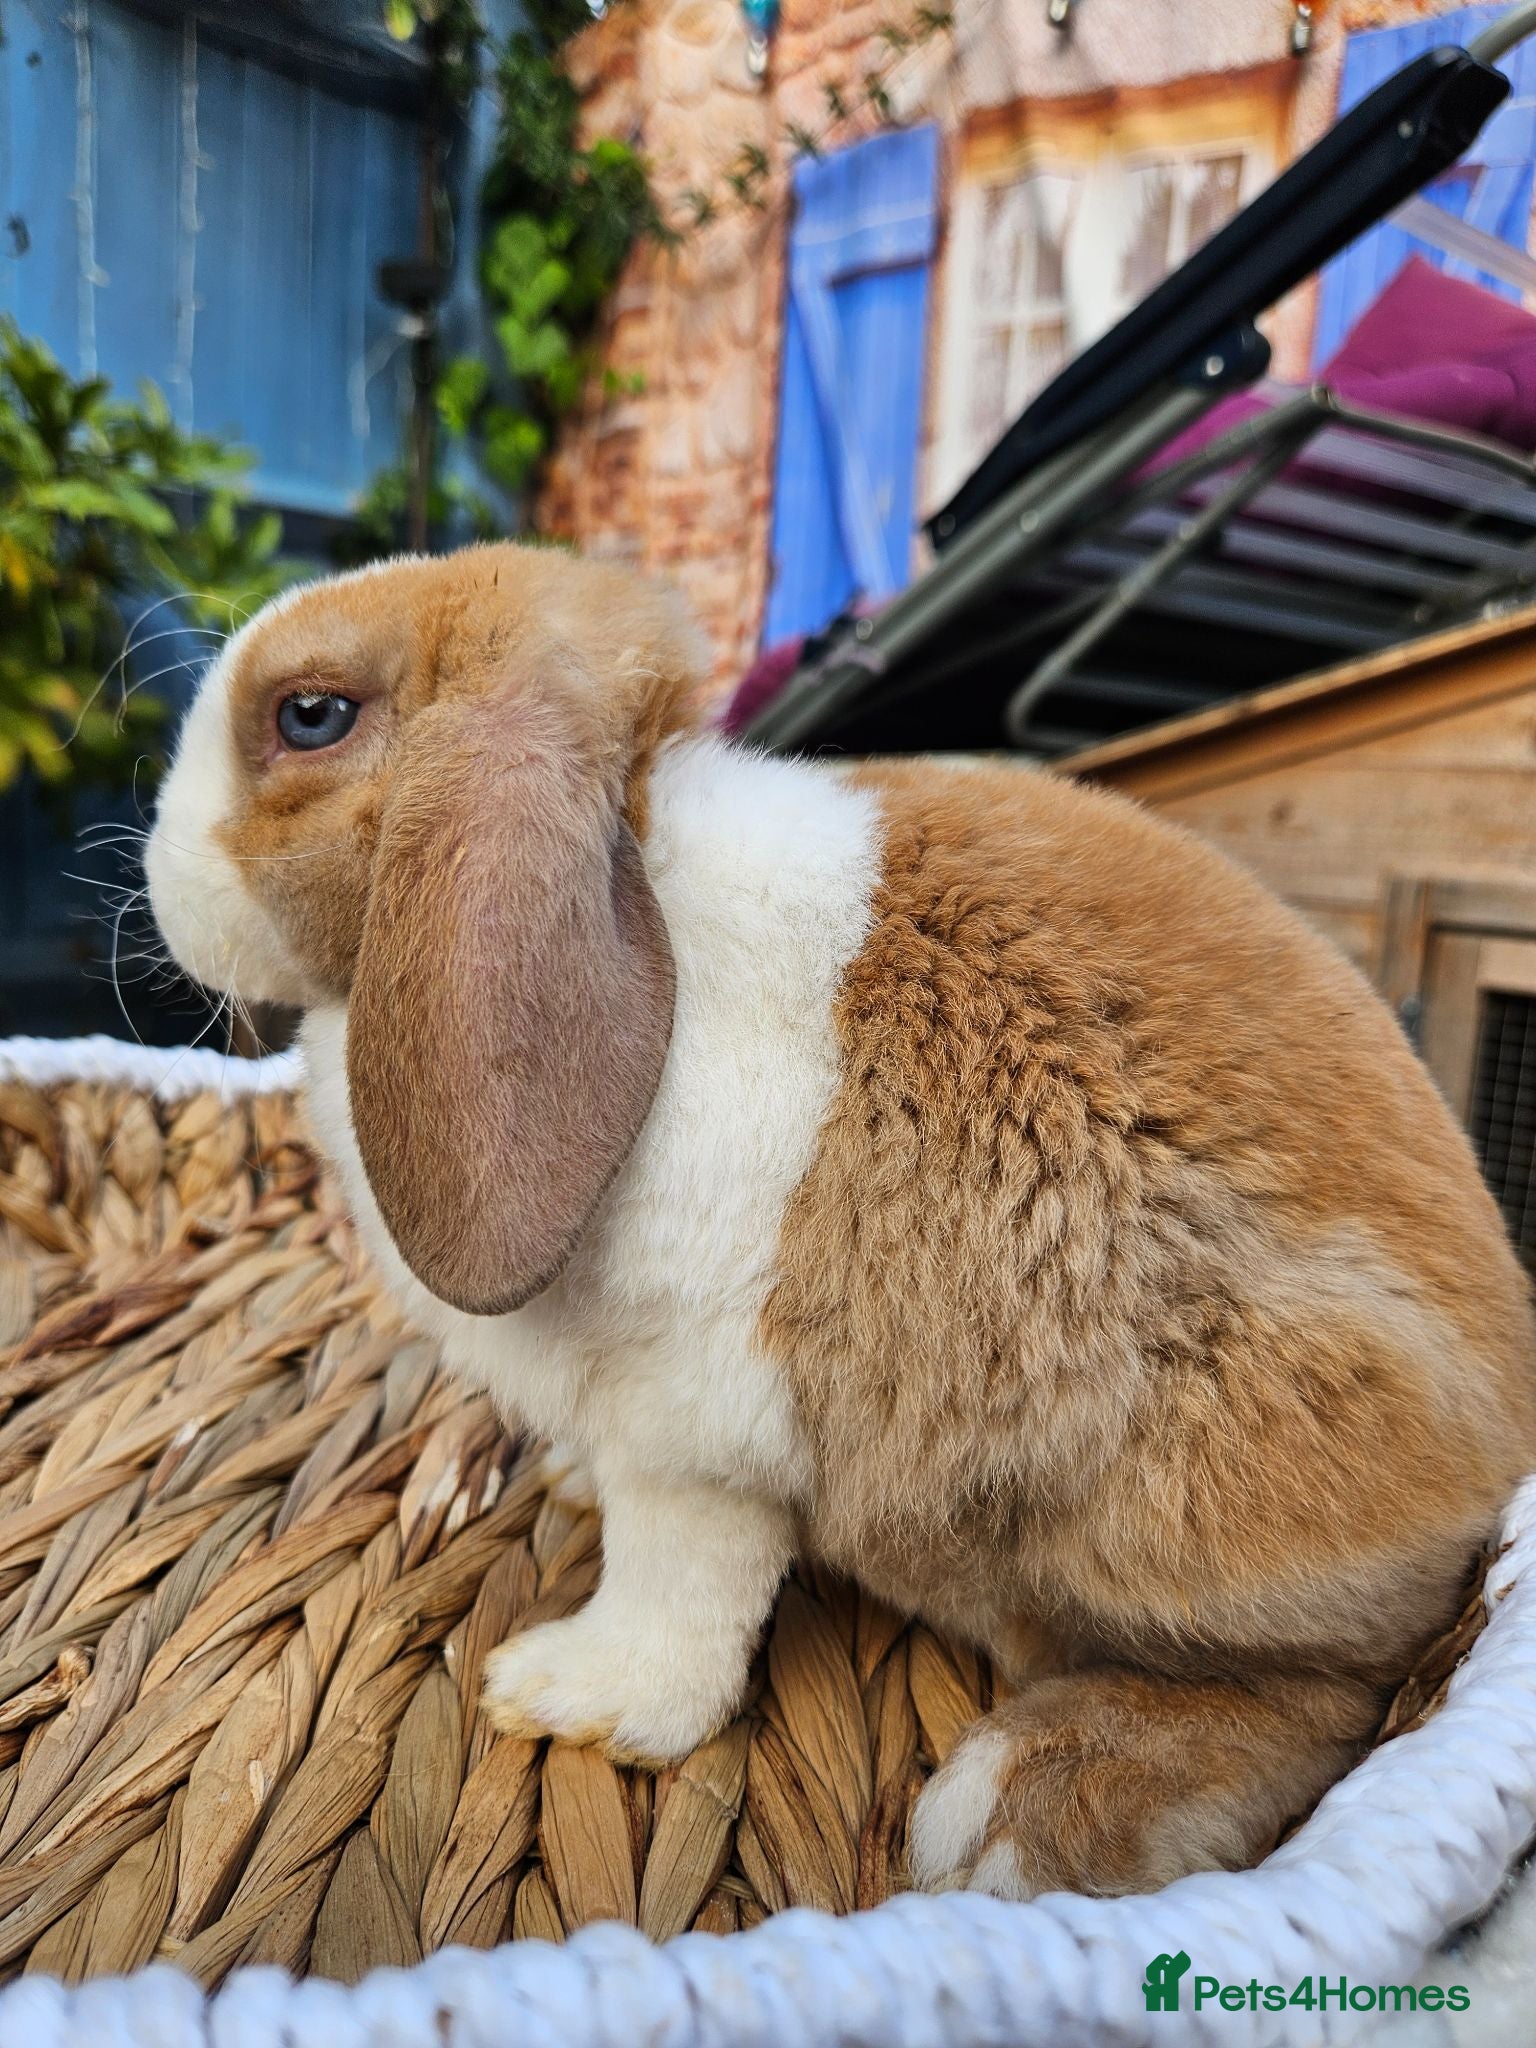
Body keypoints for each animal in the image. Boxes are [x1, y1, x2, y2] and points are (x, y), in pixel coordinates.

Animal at [145, 543, 1536, 1901]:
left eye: (310, 714)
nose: (157, 872)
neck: (643, 877)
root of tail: (1496, 1448)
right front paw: (567, 1495)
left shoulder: (692, 1433)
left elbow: (677, 1586)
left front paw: (569, 1695)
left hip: (1187, 1505)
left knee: (1333, 1690)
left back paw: (1020, 1808)